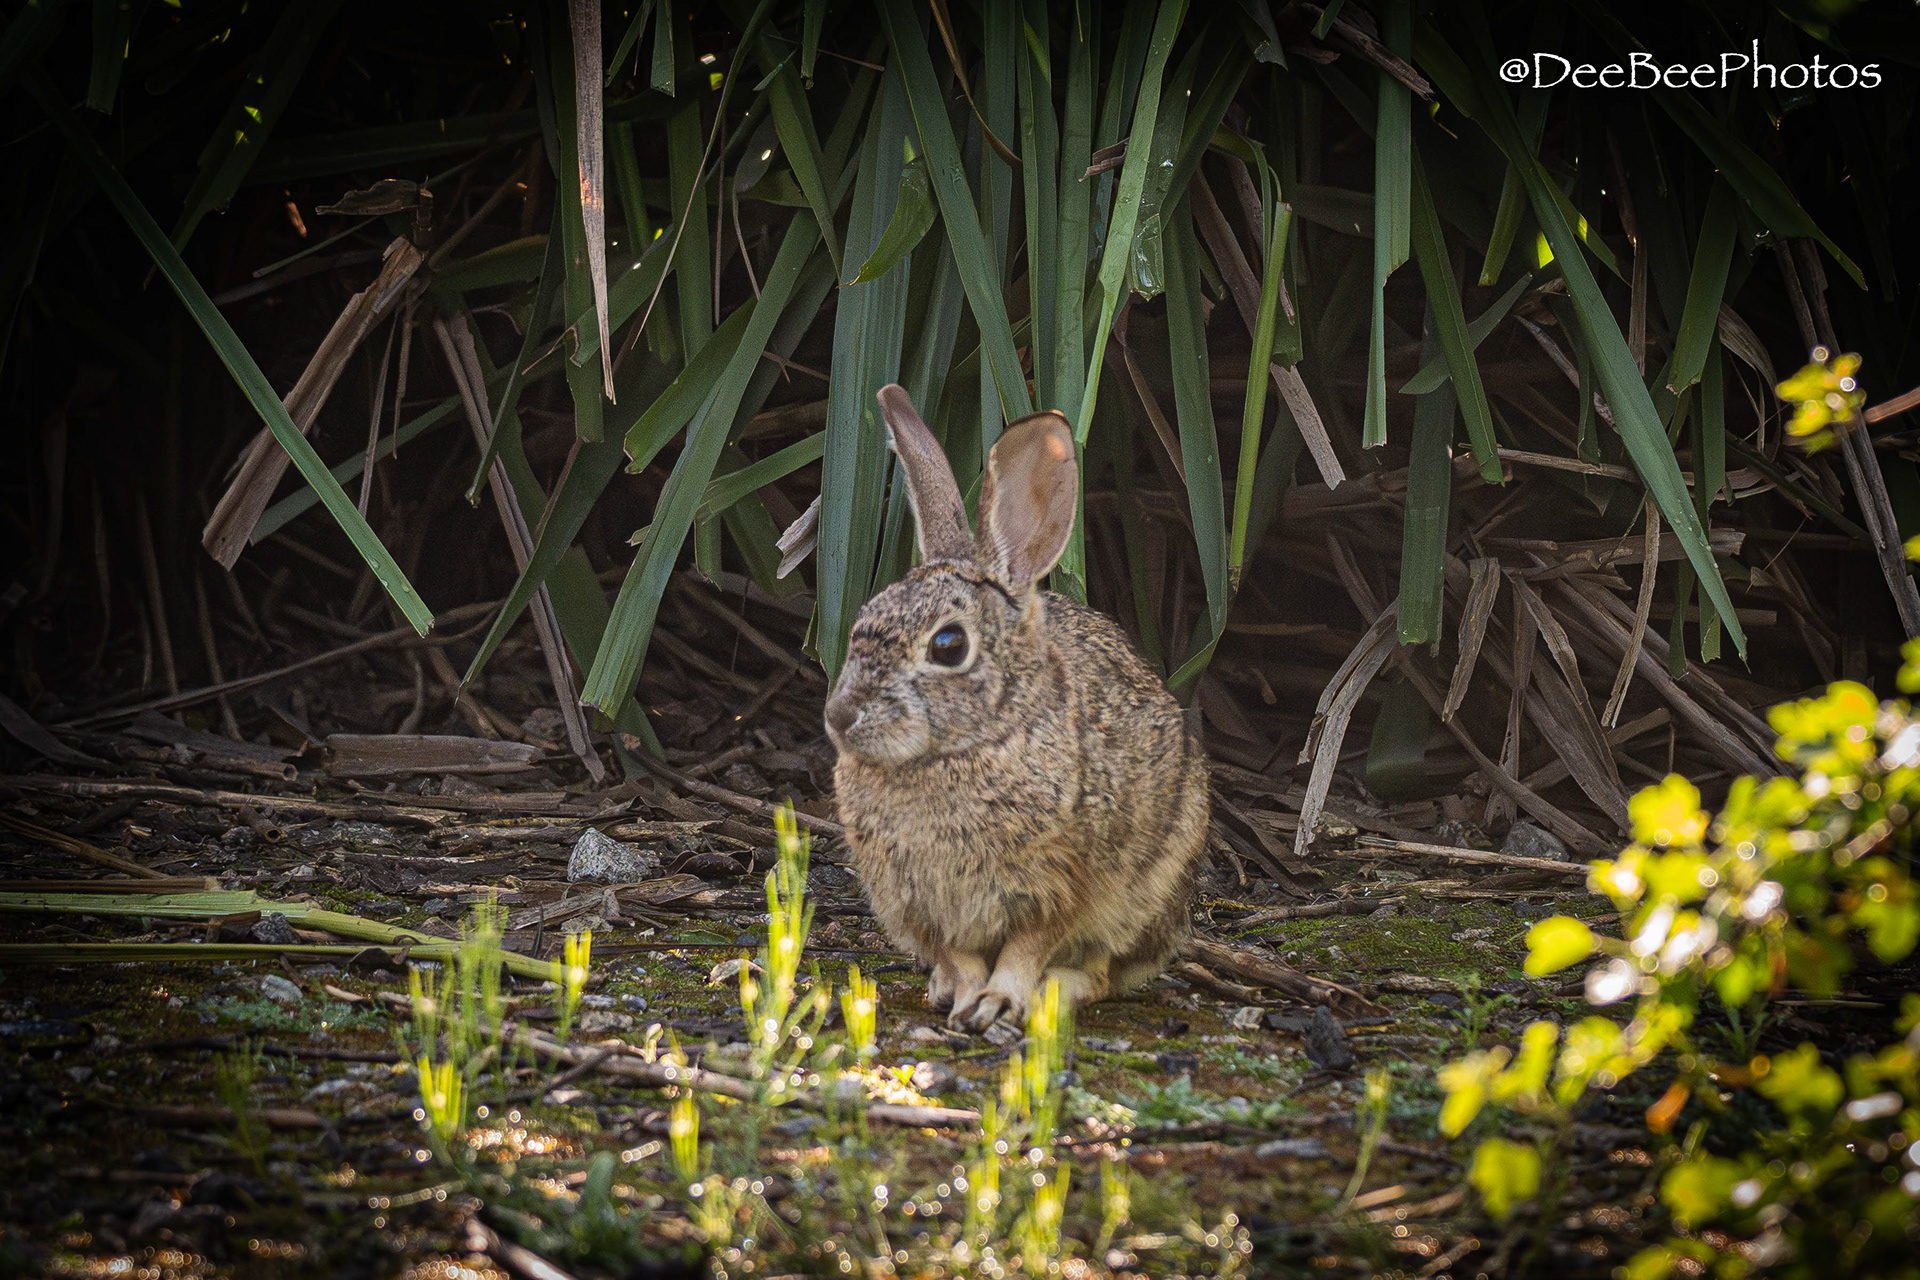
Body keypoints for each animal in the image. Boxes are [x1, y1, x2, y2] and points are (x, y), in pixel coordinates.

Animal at [823, 383, 1208, 1032]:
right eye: (865, 617)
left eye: (948, 646)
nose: (840, 715)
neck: (965, 748)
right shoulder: (923, 903)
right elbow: (959, 954)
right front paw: (961, 996)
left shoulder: (1059, 883)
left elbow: (1028, 948)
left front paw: (997, 1002)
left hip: (1145, 889)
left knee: (1101, 973)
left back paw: (1053, 992)